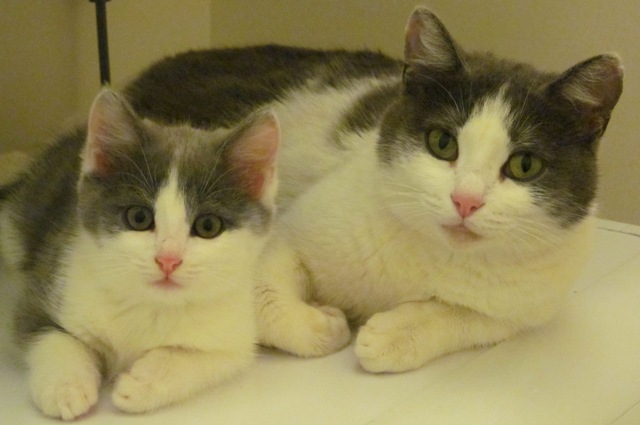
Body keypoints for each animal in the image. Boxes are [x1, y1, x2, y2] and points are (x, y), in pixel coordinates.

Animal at [0, 88, 280, 419]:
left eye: (208, 226)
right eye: (139, 218)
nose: (168, 260)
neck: (150, 304)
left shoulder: (235, 338)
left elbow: (206, 358)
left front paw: (145, 383)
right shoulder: (48, 282)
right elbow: (47, 334)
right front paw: (66, 386)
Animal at [125, 7, 623, 373]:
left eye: (524, 165)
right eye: (442, 143)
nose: (465, 200)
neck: (434, 256)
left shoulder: (526, 303)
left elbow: (469, 317)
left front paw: (393, 336)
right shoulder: (283, 231)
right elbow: (264, 299)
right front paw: (323, 326)